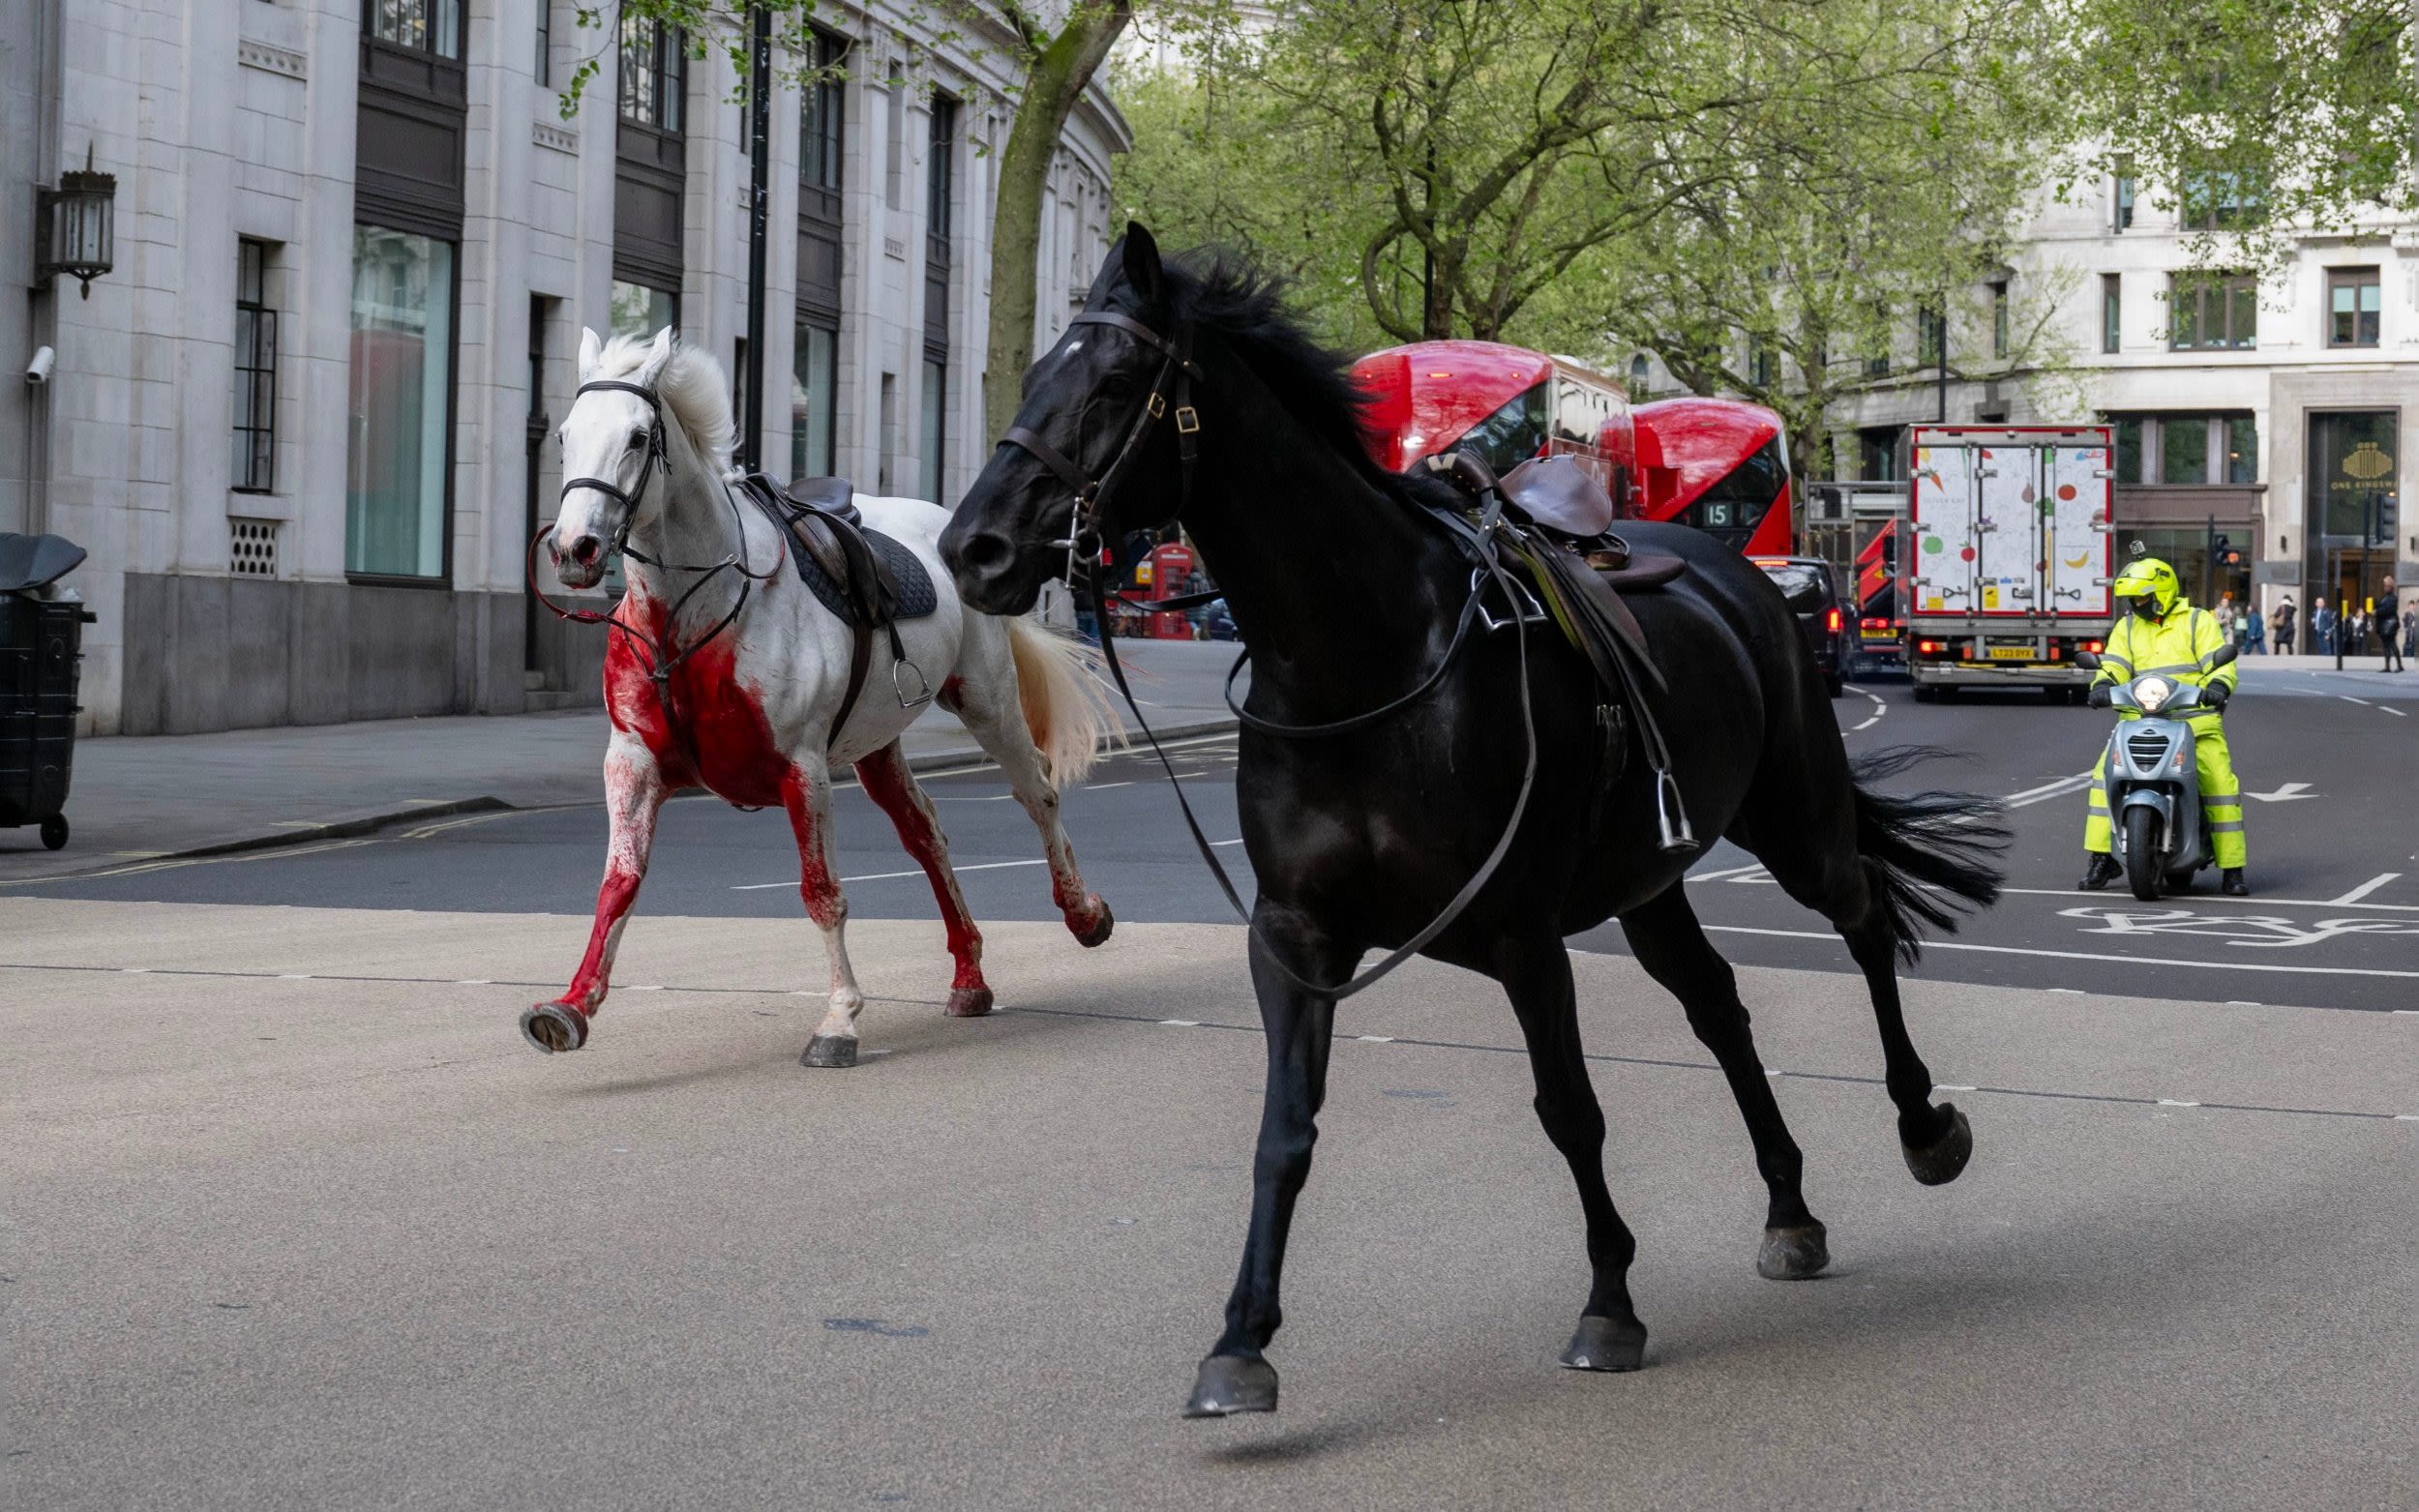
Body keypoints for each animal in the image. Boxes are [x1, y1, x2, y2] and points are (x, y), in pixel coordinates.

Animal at [529, 326, 1113, 1069]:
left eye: (637, 436)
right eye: (567, 434)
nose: (574, 548)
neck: (691, 614)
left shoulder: (801, 770)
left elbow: (822, 893)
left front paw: (838, 1020)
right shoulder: (632, 764)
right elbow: (618, 884)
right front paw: (570, 1006)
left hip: (985, 699)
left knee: (1036, 792)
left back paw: (1083, 912)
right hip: (877, 742)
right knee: (926, 833)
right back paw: (969, 976)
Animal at [934, 227, 2013, 1412]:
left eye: (1117, 382)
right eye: (1034, 372)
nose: (974, 548)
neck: (1362, 661)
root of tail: (1747, 579)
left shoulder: (1521, 931)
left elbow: (1569, 1108)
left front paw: (1609, 1304)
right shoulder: (1297, 937)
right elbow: (1284, 1131)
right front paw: (1241, 1339)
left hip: (1795, 819)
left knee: (1862, 920)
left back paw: (1924, 1124)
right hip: (1649, 884)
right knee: (1720, 1007)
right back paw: (1790, 1208)